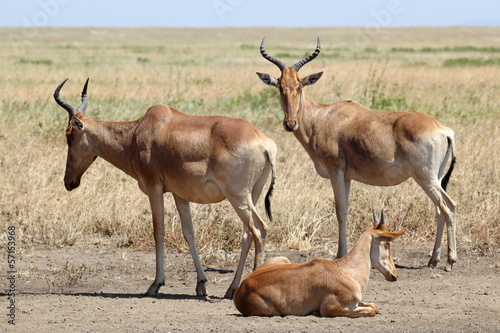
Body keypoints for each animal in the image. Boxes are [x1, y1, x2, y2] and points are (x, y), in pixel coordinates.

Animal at [54, 78, 278, 298]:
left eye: (68, 135)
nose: (69, 182)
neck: (140, 131)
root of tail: (265, 143)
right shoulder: (180, 194)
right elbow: (188, 233)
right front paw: (201, 285)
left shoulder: (154, 186)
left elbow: (158, 230)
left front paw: (155, 284)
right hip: (253, 194)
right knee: (247, 234)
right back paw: (231, 289)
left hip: (237, 196)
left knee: (259, 230)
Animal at [234, 210, 402, 316]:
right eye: (387, 243)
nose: (394, 274)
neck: (343, 270)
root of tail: (241, 289)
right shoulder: (330, 308)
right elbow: (372, 310)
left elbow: (374, 306)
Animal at [258, 37, 458, 270]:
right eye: (280, 86)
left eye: (299, 85)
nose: (290, 124)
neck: (323, 116)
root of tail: (443, 129)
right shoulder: (347, 176)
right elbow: (344, 210)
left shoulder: (336, 171)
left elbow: (340, 211)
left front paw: (340, 253)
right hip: (435, 178)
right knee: (439, 210)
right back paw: (433, 259)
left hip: (425, 177)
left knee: (448, 207)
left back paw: (450, 261)